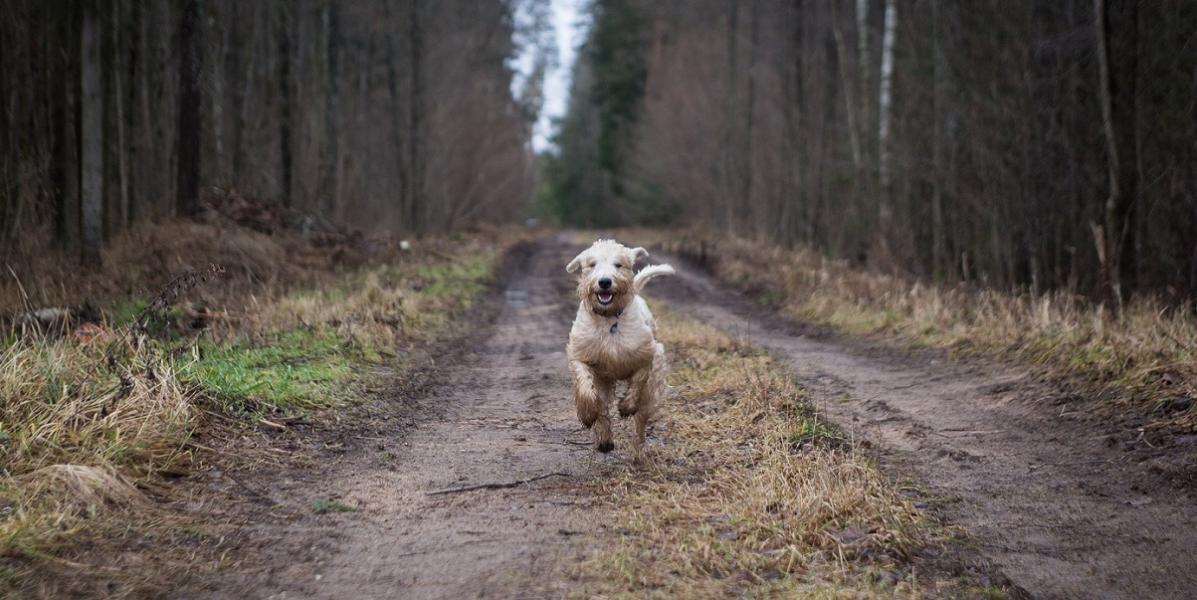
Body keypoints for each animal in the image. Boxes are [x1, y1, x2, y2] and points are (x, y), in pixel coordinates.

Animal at [562, 235, 675, 455]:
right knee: (603, 407)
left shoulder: (648, 354)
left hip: (651, 391)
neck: (609, 320)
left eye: (618, 264)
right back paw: (605, 439)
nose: (605, 282)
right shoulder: (581, 355)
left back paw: (638, 452)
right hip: (604, 380)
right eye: (592, 264)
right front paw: (587, 414)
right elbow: (585, 387)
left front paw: (627, 406)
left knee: (641, 420)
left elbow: (639, 379)